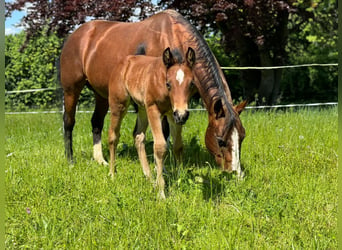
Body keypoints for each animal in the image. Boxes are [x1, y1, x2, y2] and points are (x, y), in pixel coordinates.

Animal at [60, 9, 247, 177]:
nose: (236, 174)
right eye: (220, 140)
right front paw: (161, 169)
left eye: (242, 137)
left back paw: (101, 160)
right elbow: (162, 134)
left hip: (102, 94)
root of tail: (76, 35)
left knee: (97, 122)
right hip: (71, 89)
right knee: (69, 121)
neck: (171, 36)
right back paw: (70, 161)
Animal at [108, 47, 196, 198]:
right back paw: (112, 174)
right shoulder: (153, 110)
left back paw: (149, 178)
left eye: (191, 84)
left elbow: (178, 146)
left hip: (142, 108)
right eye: (168, 84)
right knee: (113, 136)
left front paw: (180, 178)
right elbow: (160, 147)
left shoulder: (172, 115)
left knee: (138, 136)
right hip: (118, 106)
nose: (182, 115)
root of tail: (122, 63)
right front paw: (161, 192)